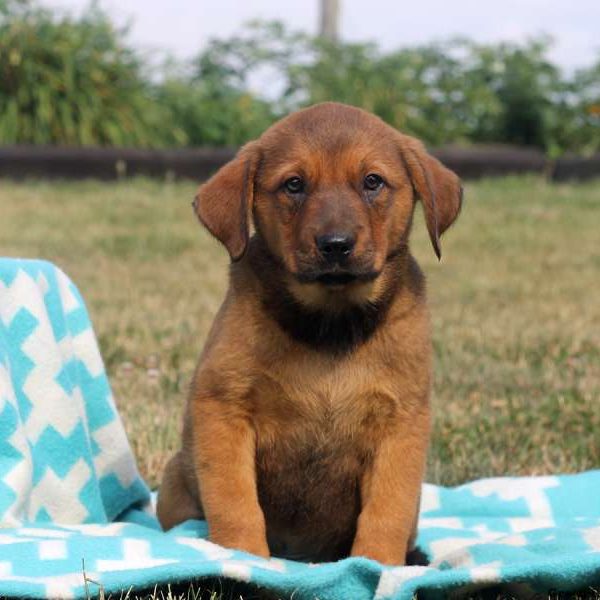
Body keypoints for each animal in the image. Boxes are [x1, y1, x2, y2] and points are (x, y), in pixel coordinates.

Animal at [157, 101, 462, 564]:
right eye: (294, 185)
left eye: (372, 182)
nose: (335, 244)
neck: (330, 323)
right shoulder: (223, 406)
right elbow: (235, 502)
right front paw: (244, 560)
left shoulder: (401, 423)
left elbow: (386, 513)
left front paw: (376, 565)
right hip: (174, 481)